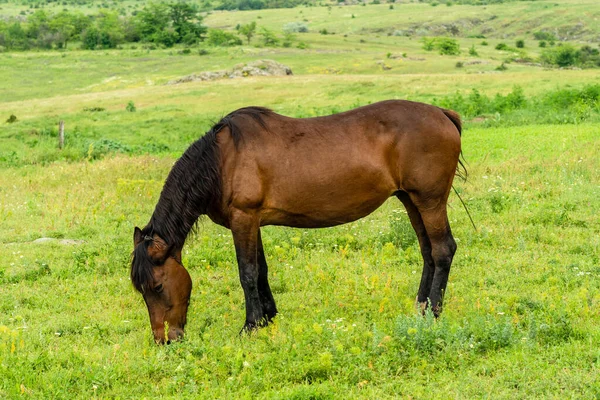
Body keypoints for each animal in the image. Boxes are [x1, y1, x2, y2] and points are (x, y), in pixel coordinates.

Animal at [129, 100, 462, 344]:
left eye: (157, 286)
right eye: (141, 290)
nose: (164, 340)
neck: (222, 161)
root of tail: (443, 114)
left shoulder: (243, 219)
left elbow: (247, 273)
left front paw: (250, 325)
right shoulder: (253, 222)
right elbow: (261, 270)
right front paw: (267, 318)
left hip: (430, 201)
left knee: (443, 250)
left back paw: (433, 312)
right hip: (410, 200)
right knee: (427, 252)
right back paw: (421, 307)